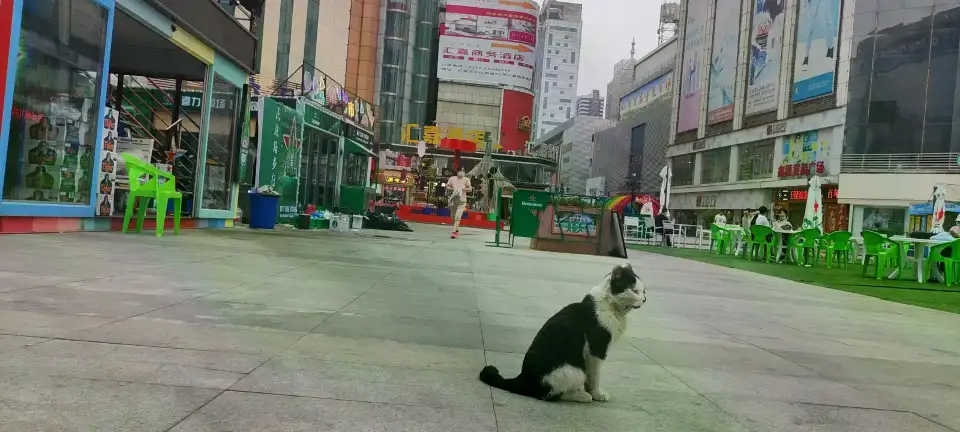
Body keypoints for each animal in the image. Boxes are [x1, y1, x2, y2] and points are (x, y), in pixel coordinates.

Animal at [480, 262, 644, 404]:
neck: (613, 308)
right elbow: (595, 376)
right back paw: (581, 396)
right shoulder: (596, 350)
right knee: (548, 395)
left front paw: (591, 392)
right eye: (635, 291)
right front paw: (596, 394)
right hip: (574, 370)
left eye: (644, 291)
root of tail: (522, 378)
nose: (644, 299)